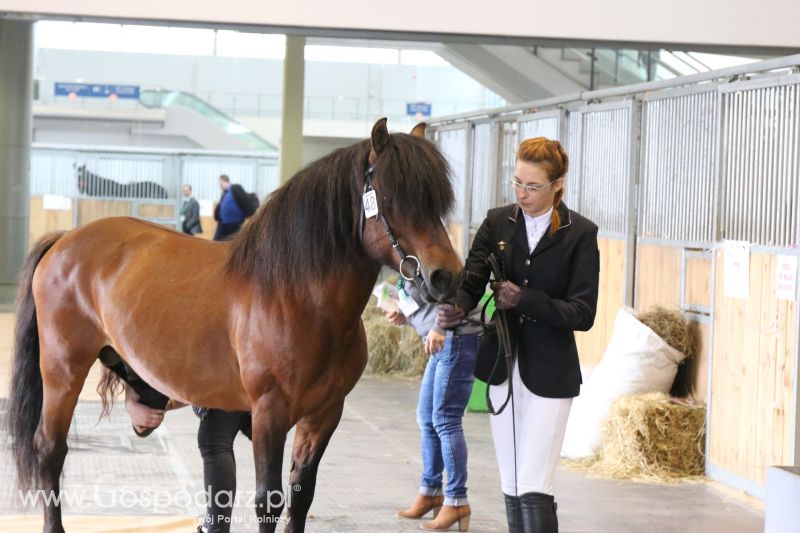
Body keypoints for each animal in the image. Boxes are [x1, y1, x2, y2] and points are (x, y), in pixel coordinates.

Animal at [9, 118, 462, 528]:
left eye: (437, 203)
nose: (447, 277)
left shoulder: (324, 415)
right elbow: (268, 500)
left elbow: (301, 496)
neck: (297, 297)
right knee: (50, 450)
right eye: (393, 197)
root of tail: (66, 239)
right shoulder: (269, 413)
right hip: (63, 372)